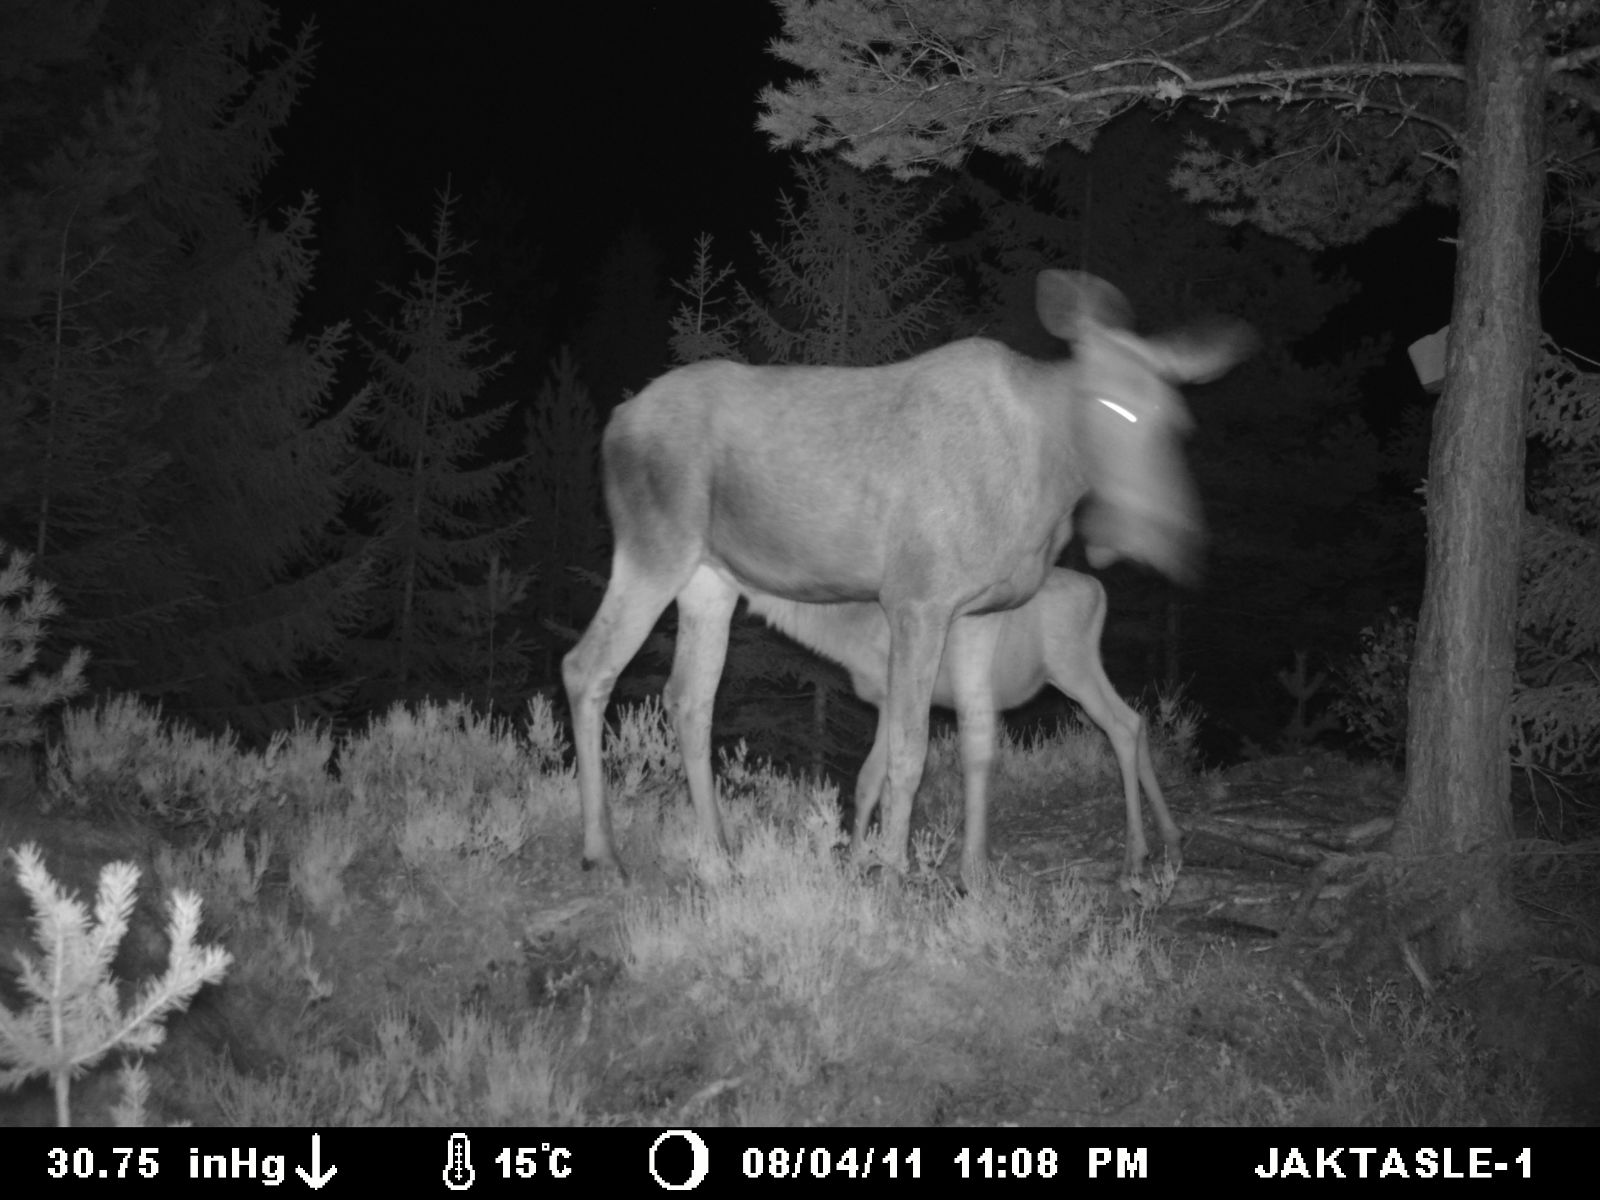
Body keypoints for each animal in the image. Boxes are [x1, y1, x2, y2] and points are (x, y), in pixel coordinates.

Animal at [563, 270, 1250, 889]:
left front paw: (974, 874)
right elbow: (907, 751)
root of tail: (615, 423)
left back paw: (717, 859)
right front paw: (889, 873)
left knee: (689, 696)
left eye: (1179, 421)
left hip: (711, 577)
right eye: (1107, 403)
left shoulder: (979, 610)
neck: (1044, 480)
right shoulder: (918, 598)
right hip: (655, 547)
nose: (1170, 540)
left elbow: (979, 743)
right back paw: (604, 855)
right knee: (588, 666)